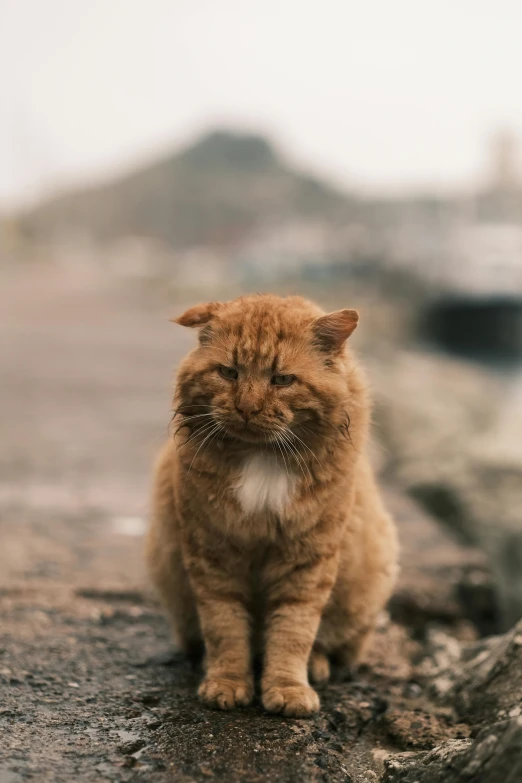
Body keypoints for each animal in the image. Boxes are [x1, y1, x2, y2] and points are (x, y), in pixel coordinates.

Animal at [146, 292, 398, 716]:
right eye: (228, 373)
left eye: (282, 379)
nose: (247, 408)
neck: (261, 455)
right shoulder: (214, 555)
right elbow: (225, 627)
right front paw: (227, 682)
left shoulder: (307, 560)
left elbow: (293, 631)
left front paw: (288, 688)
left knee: (331, 645)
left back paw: (317, 666)